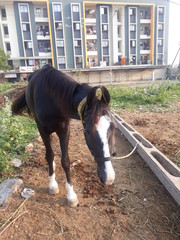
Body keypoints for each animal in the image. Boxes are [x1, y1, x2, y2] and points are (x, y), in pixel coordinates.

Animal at [11, 64, 116, 207]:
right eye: (88, 130)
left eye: (114, 127)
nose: (108, 178)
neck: (52, 99)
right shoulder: (42, 129)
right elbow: (50, 155)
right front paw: (53, 185)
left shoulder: (65, 130)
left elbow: (65, 161)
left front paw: (71, 196)